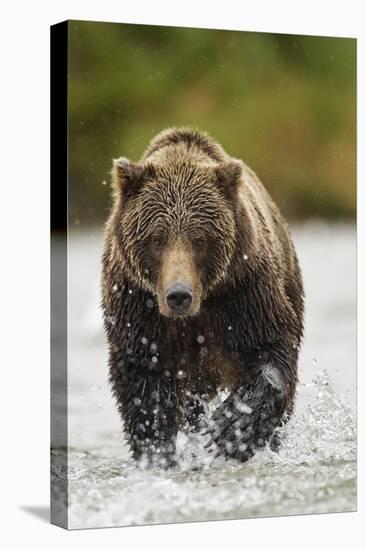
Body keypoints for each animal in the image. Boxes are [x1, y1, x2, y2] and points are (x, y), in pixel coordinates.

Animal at [101, 127, 304, 468]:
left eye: (199, 239)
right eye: (157, 239)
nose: (178, 295)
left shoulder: (243, 291)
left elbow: (272, 348)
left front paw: (232, 429)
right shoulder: (137, 307)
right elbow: (144, 382)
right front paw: (156, 451)